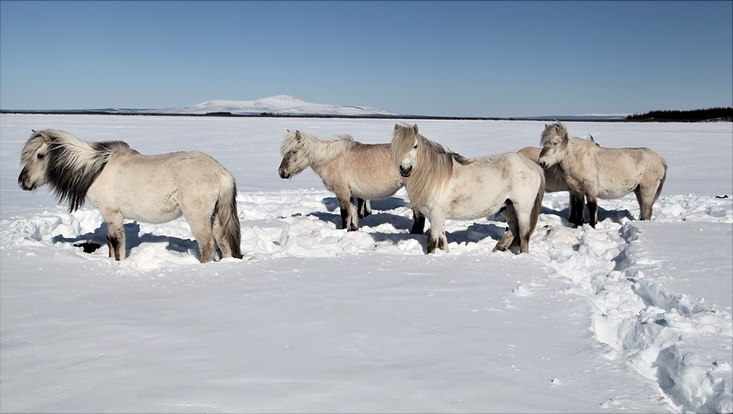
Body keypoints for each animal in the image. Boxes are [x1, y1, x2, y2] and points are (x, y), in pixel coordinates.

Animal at [18, 129, 243, 263]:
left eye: (40, 155)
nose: (22, 182)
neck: (96, 169)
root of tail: (221, 172)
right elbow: (110, 242)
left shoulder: (113, 214)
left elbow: (116, 242)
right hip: (215, 216)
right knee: (223, 242)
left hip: (198, 217)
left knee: (207, 245)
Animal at [278, 130, 424, 233]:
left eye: (294, 151)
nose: (281, 173)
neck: (331, 159)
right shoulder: (351, 193)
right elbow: (353, 212)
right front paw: (353, 229)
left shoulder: (342, 192)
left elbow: (345, 213)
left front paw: (343, 230)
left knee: (419, 216)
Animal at [391, 124, 545, 254]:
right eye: (395, 146)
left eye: (415, 146)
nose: (405, 169)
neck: (434, 177)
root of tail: (531, 165)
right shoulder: (436, 217)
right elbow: (443, 241)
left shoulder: (436, 215)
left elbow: (432, 243)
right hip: (507, 206)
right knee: (514, 229)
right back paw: (498, 249)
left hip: (523, 209)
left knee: (524, 234)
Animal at [537, 122, 667, 228]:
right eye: (544, 143)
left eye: (555, 143)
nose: (542, 162)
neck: (579, 159)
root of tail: (660, 160)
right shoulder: (576, 190)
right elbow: (579, 207)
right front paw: (578, 225)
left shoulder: (591, 190)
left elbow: (592, 208)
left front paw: (592, 226)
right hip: (638, 191)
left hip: (647, 192)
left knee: (646, 210)